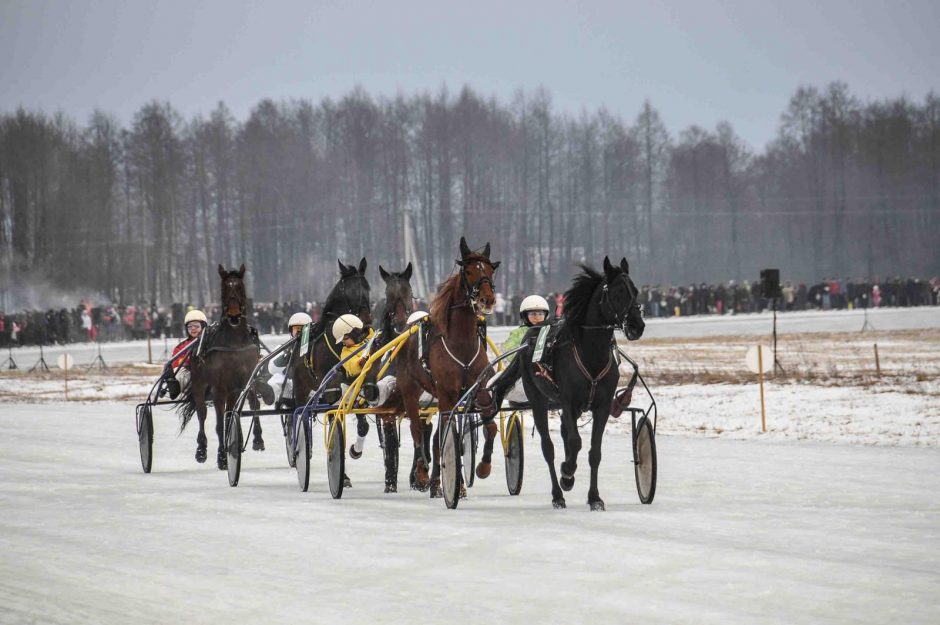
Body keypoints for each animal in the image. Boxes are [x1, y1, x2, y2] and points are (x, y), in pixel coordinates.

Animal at [179, 262, 264, 468]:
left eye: (240, 287)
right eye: (224, 289)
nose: (233, 315)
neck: (235, 343)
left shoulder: (245, 380)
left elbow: (248, 406)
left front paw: (253, 439)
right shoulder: (219, 387)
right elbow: (218, 423)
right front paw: (222, 457)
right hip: (199, 384)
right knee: (202, 413)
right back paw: (202, 449)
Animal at [394, 238, 500, 498]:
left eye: (489, 270)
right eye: (469, 271)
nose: (488, 299)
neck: (461, 343)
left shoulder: (479, 389)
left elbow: (491, 427)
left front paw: (482, 468)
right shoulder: (448, 393)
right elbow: (446, 436)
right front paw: (451, 482)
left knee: (433, 435)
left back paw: (435, 482)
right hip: (411, 390)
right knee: (416, 428)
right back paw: (422, 474)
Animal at [516, 256, 644, 510]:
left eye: (635, 291)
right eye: (617, 292)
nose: (638, 325)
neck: (591, 355)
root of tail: (532, 332)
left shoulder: (602, 406)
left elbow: (595, 452)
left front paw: (594, 498)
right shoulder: (567, 401)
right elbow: (575, 442)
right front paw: (567, 473)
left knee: (565, 433)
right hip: (538, 399)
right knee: (548, 447)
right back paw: (558, 493)